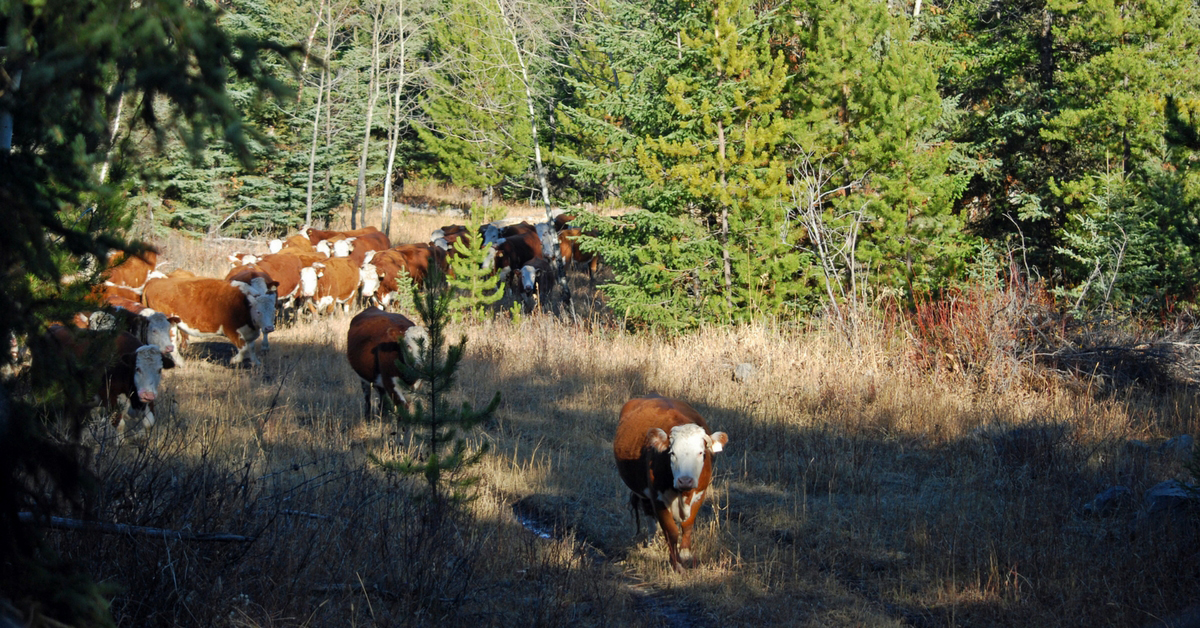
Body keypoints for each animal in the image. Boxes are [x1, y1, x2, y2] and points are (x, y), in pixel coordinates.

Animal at [141, 276, 277, 369]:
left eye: (273, 310)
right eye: (258, 312)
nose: (269, 328)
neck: (244, 305)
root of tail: (154, 281)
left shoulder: (249, 332)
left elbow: (251, 348)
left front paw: (256, 363)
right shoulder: (232, 331)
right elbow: (243, 348)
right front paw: (234, 360)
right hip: (169, 325)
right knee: (172, 344)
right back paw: (181, 363)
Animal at [614, 396, 724, 571]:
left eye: (701, 452)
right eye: (672, 453)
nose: (685, 480)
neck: (683, 494)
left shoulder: (700, 494)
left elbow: (688, 524)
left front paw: (685, 555)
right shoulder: (657, 497)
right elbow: (671, 530)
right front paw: (676, 563)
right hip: (643, 493)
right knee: (648, 513)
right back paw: (651, 541)